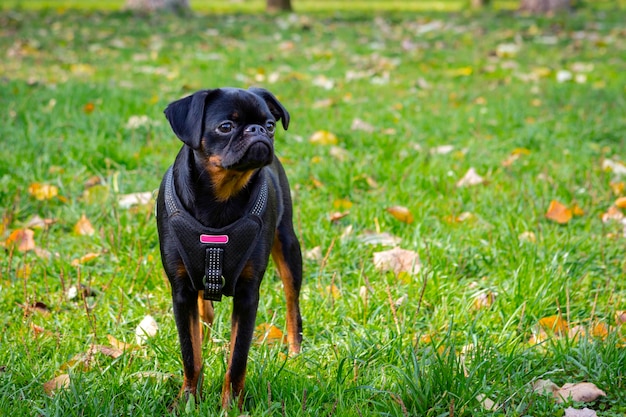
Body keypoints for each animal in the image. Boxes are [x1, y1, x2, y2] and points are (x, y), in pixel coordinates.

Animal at [156, 86, 302, 408]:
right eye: (225, 127)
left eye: (270, 125)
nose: (258, 130)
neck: (221, 197)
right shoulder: (181, 290)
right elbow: (190, 354)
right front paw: (188, 401)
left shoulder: (248, 295)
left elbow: (237, 360)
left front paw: (231, 406)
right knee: (204, 310)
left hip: (289, 246)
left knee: (292, 303)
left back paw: (296, 353)